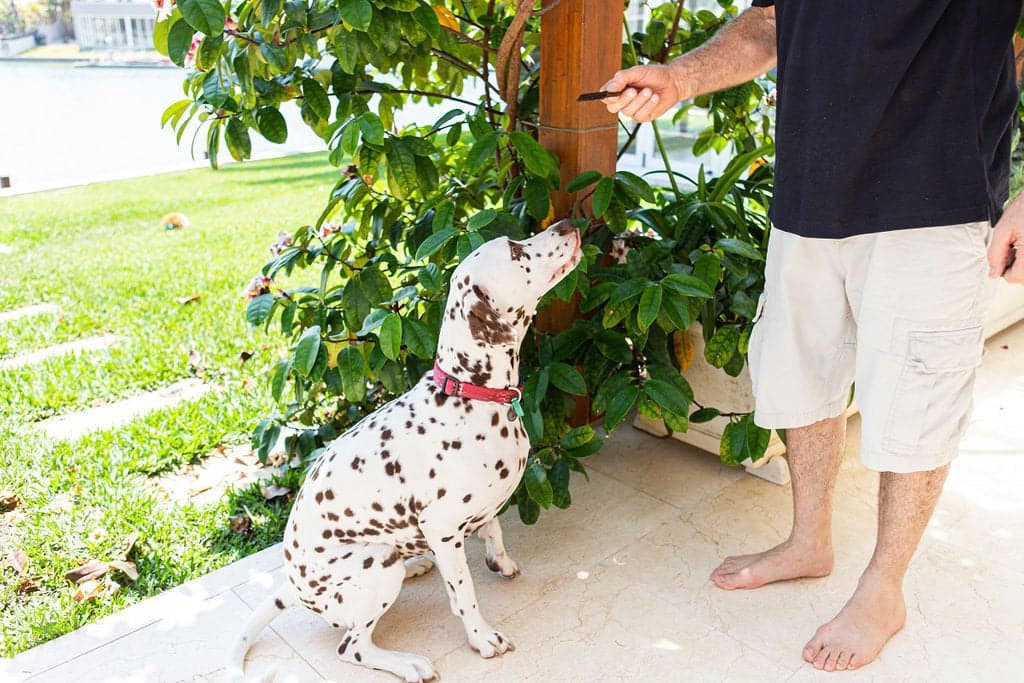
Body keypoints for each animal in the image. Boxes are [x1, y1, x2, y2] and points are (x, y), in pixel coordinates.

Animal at [233, 220, 585, 683]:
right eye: (515, 251)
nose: (568, 223)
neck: (468, 394)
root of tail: (296, 590)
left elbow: (494, 531)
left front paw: (501, 562)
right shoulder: (443, 529)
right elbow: (464, 593)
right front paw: (482, 638)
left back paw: (417, 564)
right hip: (377, 565)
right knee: (352, 647)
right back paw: (407, 662)